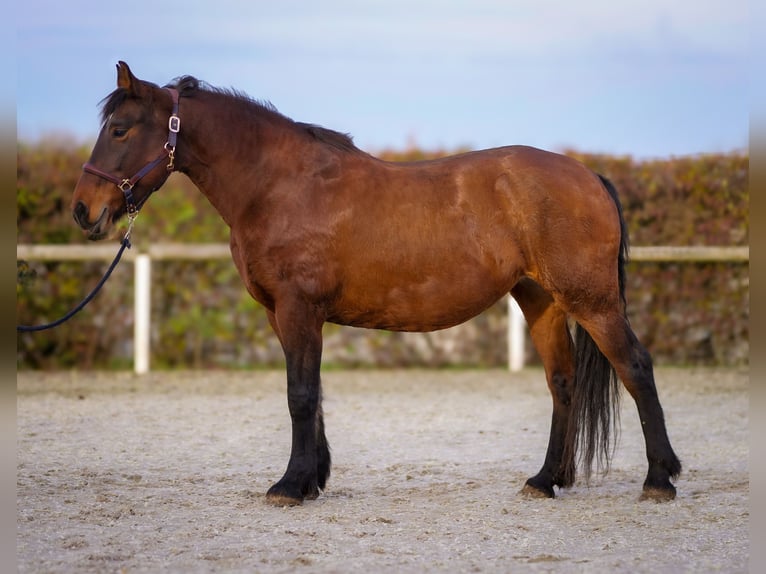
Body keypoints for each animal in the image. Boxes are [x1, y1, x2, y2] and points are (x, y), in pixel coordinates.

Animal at [73, 60, 684, 506]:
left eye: (120, 130)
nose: (84, 212)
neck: (278, 185)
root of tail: (589, 176)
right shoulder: (283, 314)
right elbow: (311, 392)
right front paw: (313, 479)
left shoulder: (298, 308)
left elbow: (299, 394)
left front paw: (289, 486)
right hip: (543, 303)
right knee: (563, 383)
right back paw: (545, 479)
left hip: (593, 302)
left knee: (635, 368)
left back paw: (659, 479)